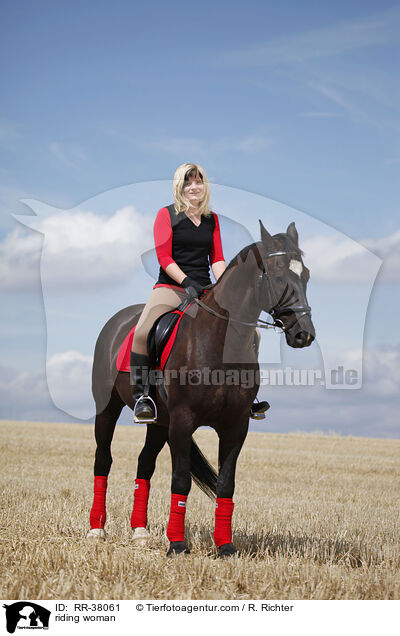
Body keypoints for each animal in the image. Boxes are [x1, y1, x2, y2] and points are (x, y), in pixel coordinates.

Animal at [87, 222, 316, 556]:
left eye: (306, 275)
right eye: (277, 276)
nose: (304, 334)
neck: (219, 340)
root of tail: (117, 321)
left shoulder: (236, 425)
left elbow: (226, 484)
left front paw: (225, 546)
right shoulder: (183, 422)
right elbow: (180, 481)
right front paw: (177, 544)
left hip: (159, 422)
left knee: (144, 464)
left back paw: (140, 532)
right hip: (108, 409)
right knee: (103, 459)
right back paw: (96, 529)